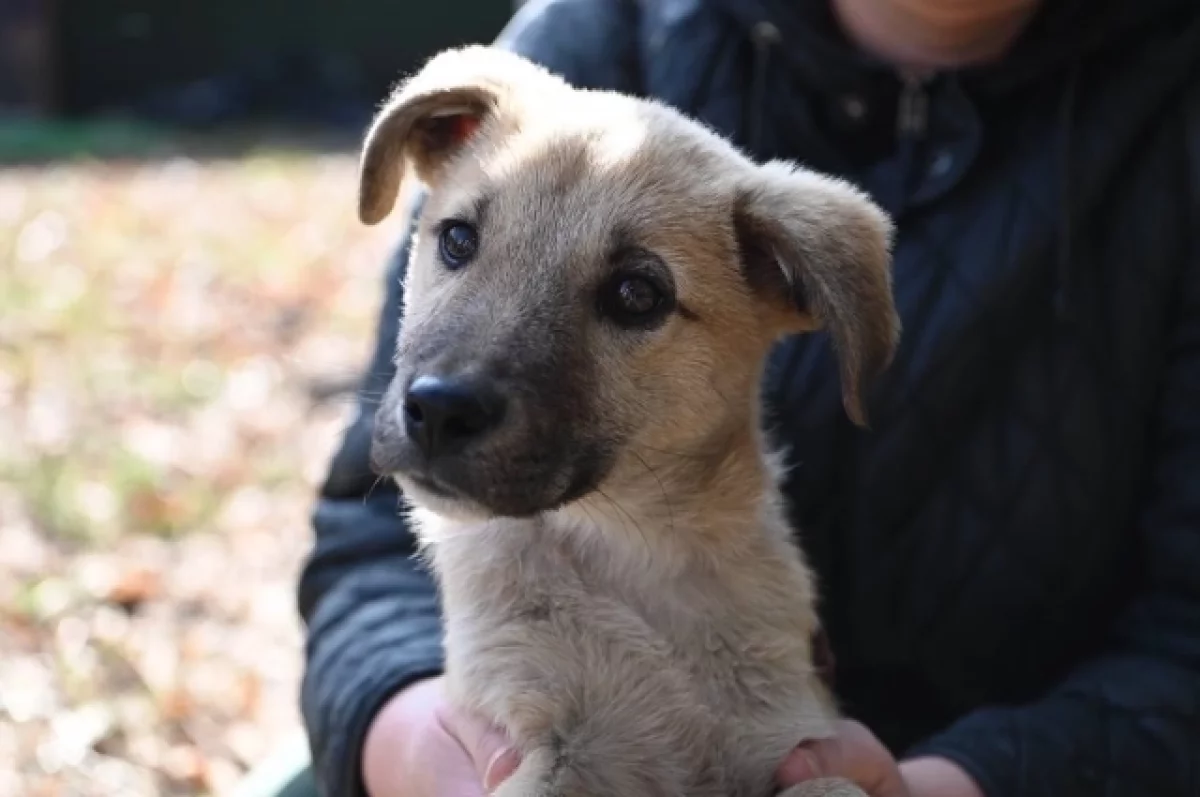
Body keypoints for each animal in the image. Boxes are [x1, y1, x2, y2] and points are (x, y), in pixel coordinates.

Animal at [360, 46, 897, 797]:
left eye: (637, 295)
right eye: (459, 239)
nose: (439, 410)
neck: (636, 560)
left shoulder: (794, 740)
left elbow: (832, 783)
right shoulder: (541, 740)